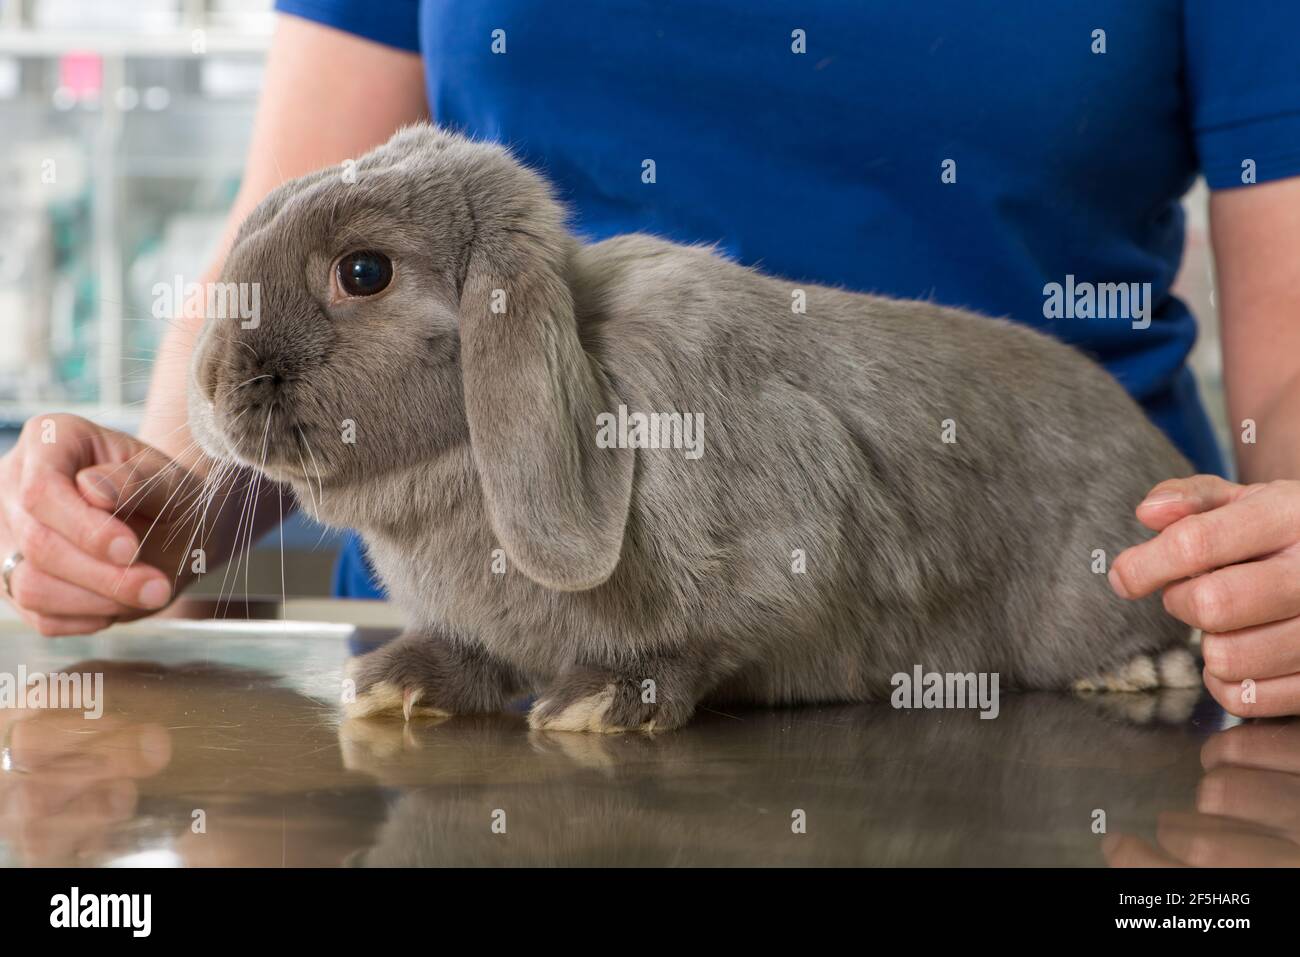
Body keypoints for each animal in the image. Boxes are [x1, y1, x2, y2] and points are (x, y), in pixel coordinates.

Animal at [187, 122, 1199, 734]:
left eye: (364, 272)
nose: (210, 380)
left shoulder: (787, 541)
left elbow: (706, 641)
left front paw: (597, 702)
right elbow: (473, 655)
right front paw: (390, 683)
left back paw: (1143, 668)